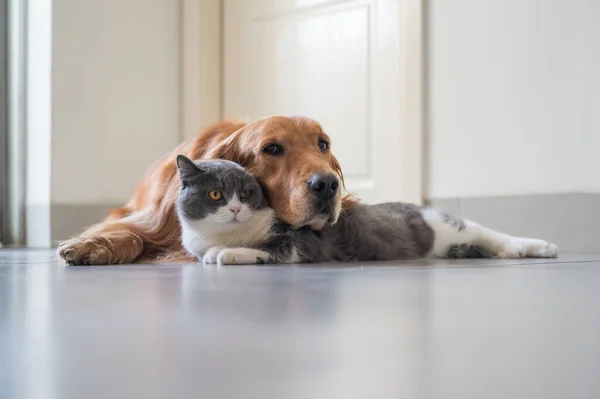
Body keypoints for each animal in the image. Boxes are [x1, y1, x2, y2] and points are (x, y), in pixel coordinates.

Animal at [57, 115, 356, 266]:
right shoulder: (154, 220)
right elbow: (134, 234)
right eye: (271, 148)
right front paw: (92, 245)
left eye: (323, 144)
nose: (327, 185)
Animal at [176, 156, 560, 266]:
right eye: (215, 194)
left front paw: (227, 253)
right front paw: (213, 251)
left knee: (492, 233)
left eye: (246, 193)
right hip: (454, 244)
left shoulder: (304, 243)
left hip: (451, 226)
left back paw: (541, 246)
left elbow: (270, 247)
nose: (235, 207)